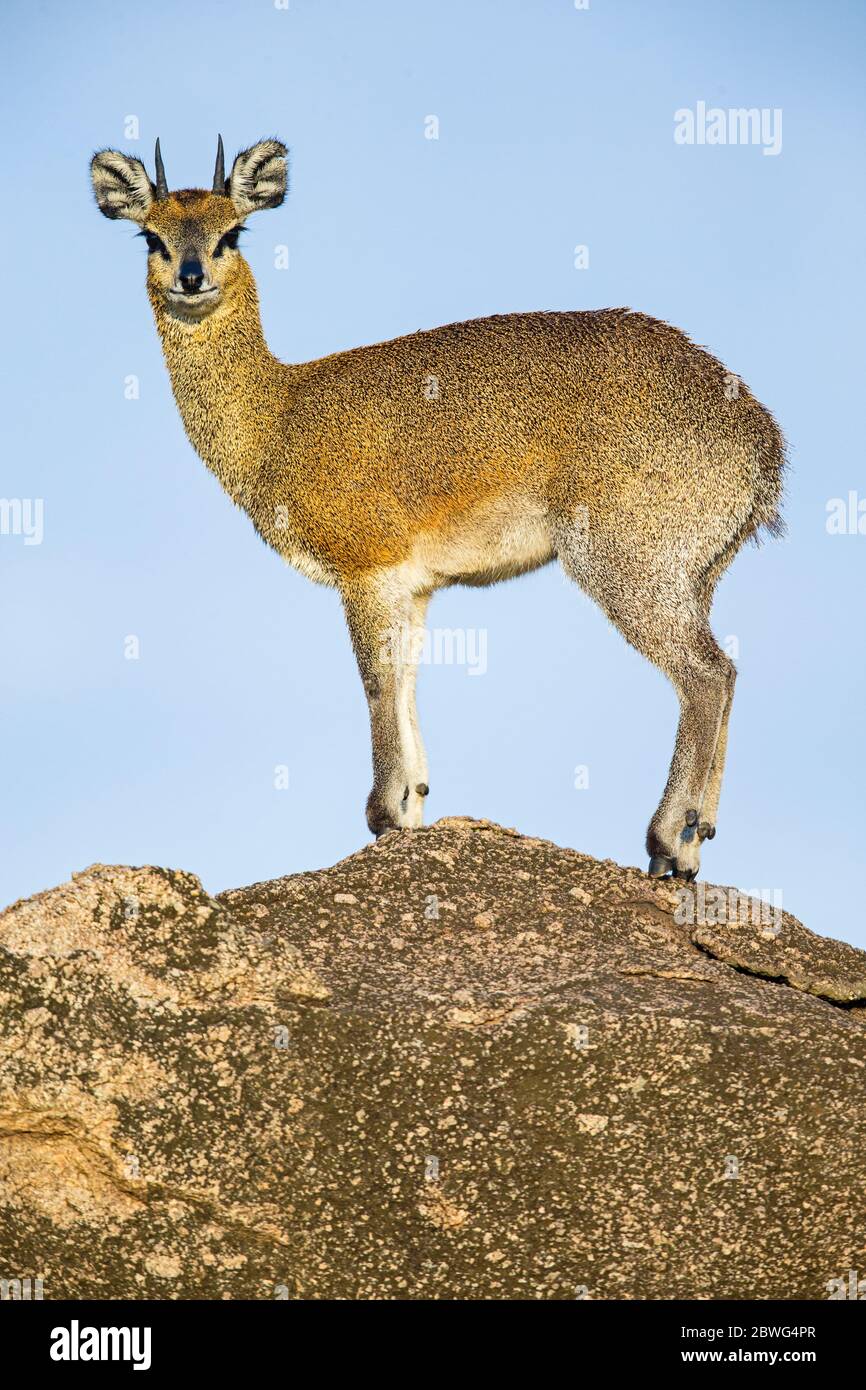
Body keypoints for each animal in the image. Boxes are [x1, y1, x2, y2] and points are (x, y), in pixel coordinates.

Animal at [93, 138, 783, 878]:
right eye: (151, 236)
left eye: (233, 233)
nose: (191, 277)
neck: (277, 415)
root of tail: (761, 437)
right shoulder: (414, 586)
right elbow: (406, 685)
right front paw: (412, 805)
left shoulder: (366, 571)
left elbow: (374, 684)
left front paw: (382, 815)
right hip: (694, 578)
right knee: (726, 672)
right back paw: (694, 845)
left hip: (629, 567)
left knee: (706, 675)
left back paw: (664, 842)